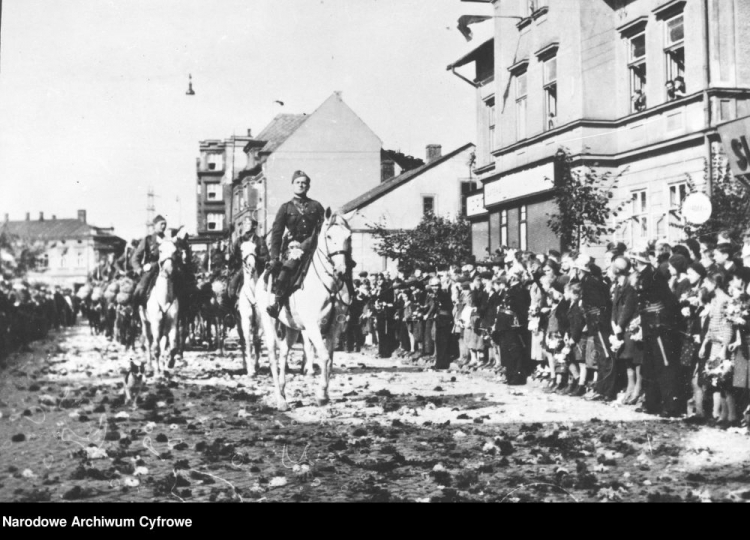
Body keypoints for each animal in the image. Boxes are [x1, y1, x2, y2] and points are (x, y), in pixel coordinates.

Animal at [138, 236, 181, 376]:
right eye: (160, 250)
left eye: (175, 251)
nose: (168, 270)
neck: (164, 297)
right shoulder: (155, 323)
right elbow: (155, 348)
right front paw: (156, 371)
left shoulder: (172, 323)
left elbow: (173, 348)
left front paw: (169, 363)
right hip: (145, 323)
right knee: (148, 343)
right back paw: (150, 368)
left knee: (163, 344)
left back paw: (163, 368)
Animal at [258, 209, 354, 412]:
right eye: (329, 236)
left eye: (349, 236)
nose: (341, 271)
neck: (329, 287)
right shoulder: (312, 327)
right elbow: (324, 357)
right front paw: (321, 396)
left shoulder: (335, 328)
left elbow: (330, 359)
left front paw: (324, 393)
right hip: (269, 322)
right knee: (272, 355)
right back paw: (280, 399)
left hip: (292, 328)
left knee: (284, 353)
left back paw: (283, 391)